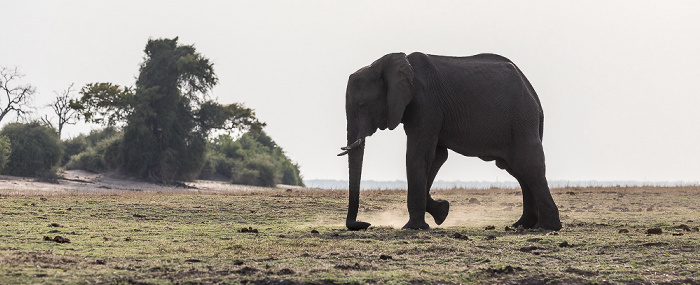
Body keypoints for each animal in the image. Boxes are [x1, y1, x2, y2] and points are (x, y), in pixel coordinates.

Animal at [336, 52, 560, 230]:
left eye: (362, 105)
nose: (362, 224)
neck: (385, 64)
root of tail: (533, 93)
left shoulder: (426, 104)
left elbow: (418, 155)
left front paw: (413, 227)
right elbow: (436, 157)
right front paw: (442, 212)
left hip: (521, 120)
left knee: (528, 165)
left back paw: (546, 227)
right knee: (518, 170)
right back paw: (522, 225)